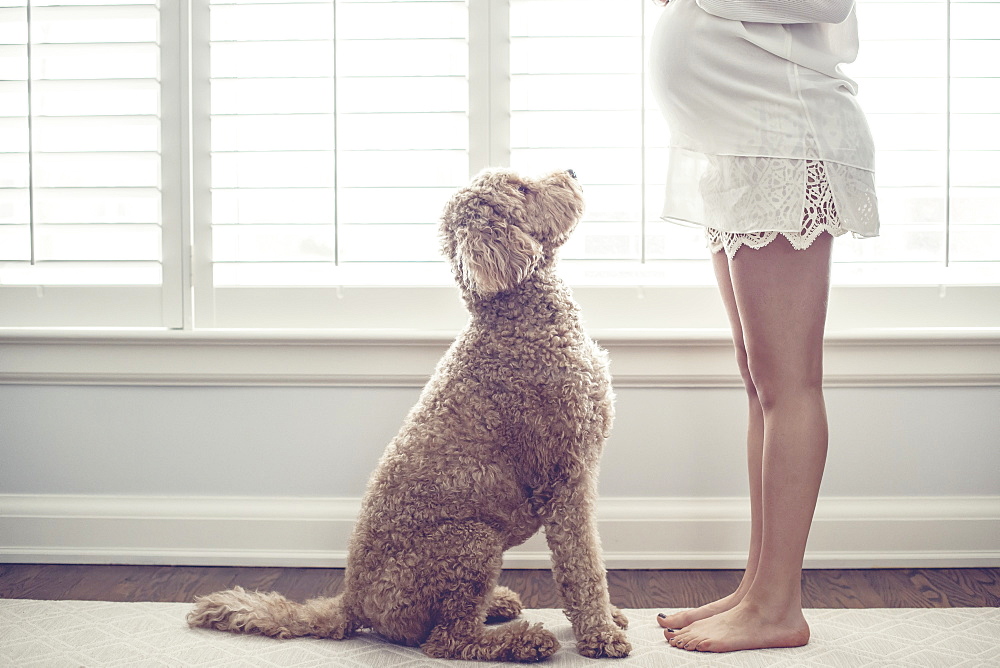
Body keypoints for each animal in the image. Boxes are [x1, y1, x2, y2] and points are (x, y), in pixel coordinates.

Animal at [188, 168, 628, 664]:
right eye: (522, 189)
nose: (572, 171)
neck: (518, 323)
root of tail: (353, 601)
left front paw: (609, 620)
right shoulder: (566, 477)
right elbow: (583, 564)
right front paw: (601, 633)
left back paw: (498, 605)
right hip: (473, 543)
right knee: (449, 639)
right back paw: (524, 640)